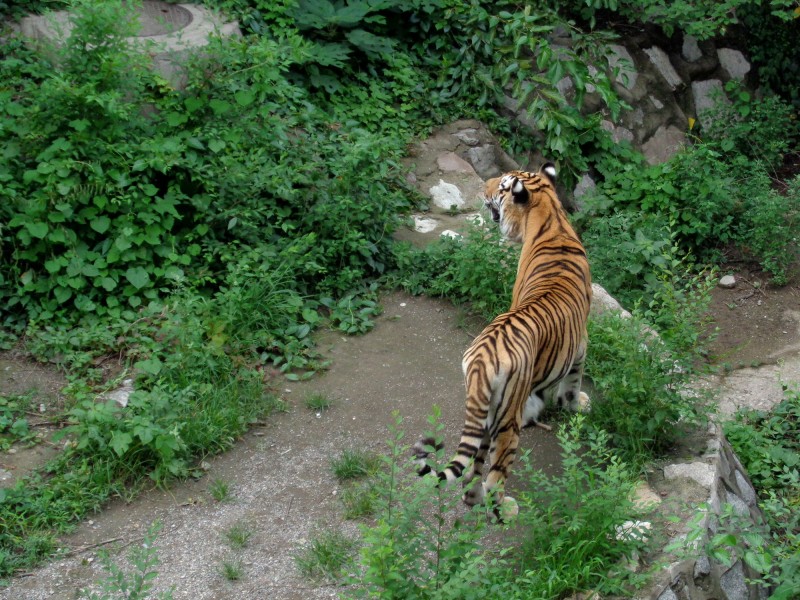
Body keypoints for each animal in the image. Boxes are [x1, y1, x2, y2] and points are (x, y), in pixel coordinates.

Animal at [416, 165, 592, 520]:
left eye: (500, 185)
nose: (483, 187)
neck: (552, 219)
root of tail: (481, 360)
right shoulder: (580, 340)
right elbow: (573, 378)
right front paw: (575, 403)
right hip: (506, 421)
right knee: (496, 472)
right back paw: (503, 510)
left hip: (485, 412)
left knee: (473, 468)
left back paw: (474, 498)